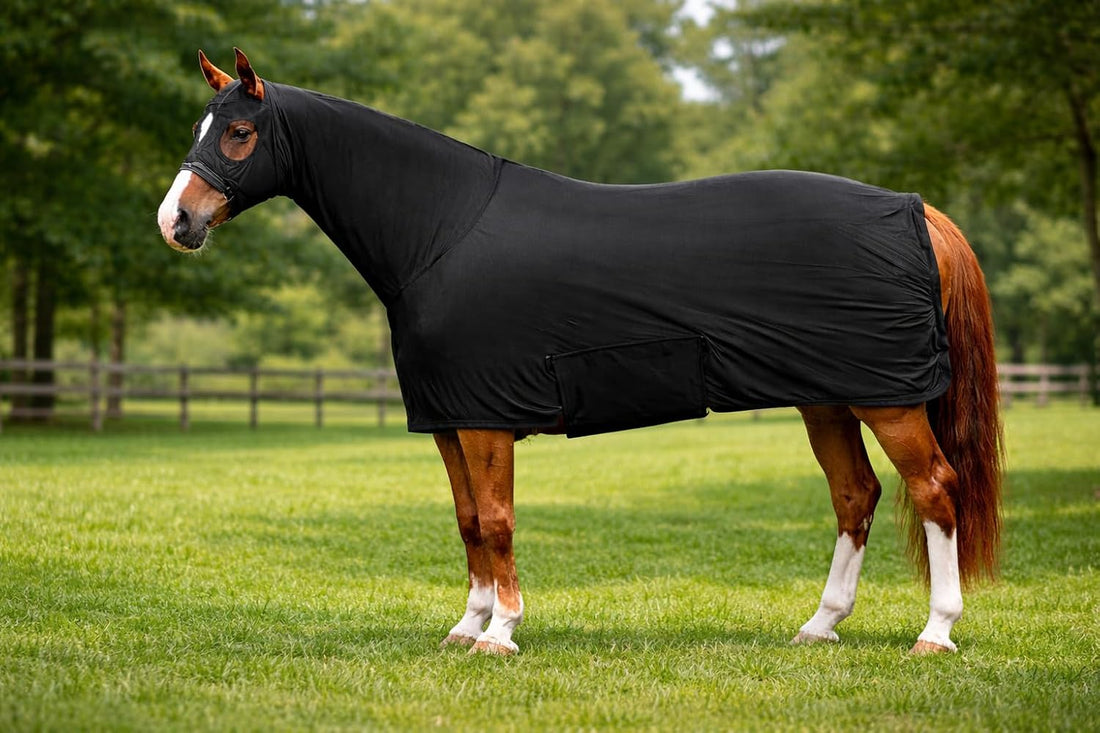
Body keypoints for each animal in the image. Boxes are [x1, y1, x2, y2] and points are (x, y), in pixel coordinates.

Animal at [158, 49, 1002, 656]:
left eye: (238, 133)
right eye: (200, 129)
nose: (176, 222)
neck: (439, 230)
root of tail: (917, 210)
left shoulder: (487, 418)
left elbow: (497, 519)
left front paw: (501, 633)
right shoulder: (448, 420)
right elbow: (467, 520)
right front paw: (467, 625)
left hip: (888, 399)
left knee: (934, 488)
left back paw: (935, 632)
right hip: (827, 397)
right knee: (855, 496)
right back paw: (819, 625)